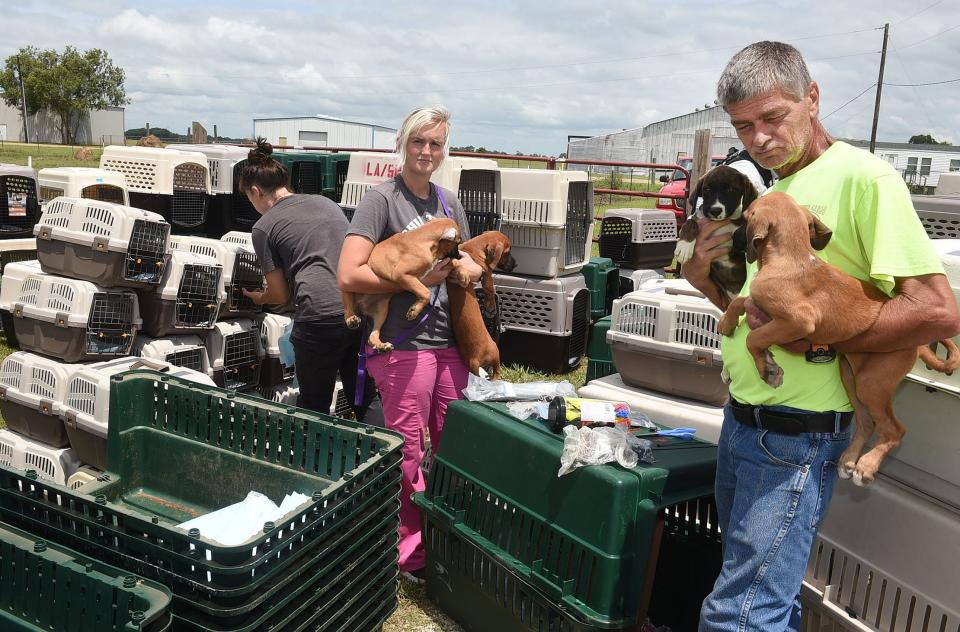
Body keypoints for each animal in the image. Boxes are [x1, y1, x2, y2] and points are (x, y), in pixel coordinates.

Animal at [344, 217, 470, 354]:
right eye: (457, 242)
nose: (459, 255)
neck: (425, 238)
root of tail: (361, 307)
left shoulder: (436, 264)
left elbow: (453, 262)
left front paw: (464, 274)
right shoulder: (401, 274)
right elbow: (426, 292)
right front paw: (414, 310)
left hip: (382, 310)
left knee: (372, 336)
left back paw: (382, 345)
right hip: (348, 287)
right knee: (347, 307)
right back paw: (351, 319)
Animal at [446, 233, 512, 378]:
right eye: (507, 252)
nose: (515, 265)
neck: (474, 247)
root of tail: (474, 359)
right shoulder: (486, 272)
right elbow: (490, 289)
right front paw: (490, 307)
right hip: (495, 350)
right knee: (496, 371)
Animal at [676, 163, 764, 302]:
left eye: (731, 189)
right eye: (706, 189)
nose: (715, 210)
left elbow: (745, 228)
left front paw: (738, 237)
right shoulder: (698, 217)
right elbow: (690, 223)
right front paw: (684, 247)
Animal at [720, 194, 960, 488]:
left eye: (745, 217)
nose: (732, 238)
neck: (790, 256)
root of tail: (918, 345)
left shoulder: (800, 320)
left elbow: (754, 337)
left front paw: (768, 368)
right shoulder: (763, 304)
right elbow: (743, 301)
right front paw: (727, 322)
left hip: (871, 383)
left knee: (894, 429)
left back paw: (866, 465)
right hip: (851, 376)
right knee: (867, 422)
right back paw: (849, 460)